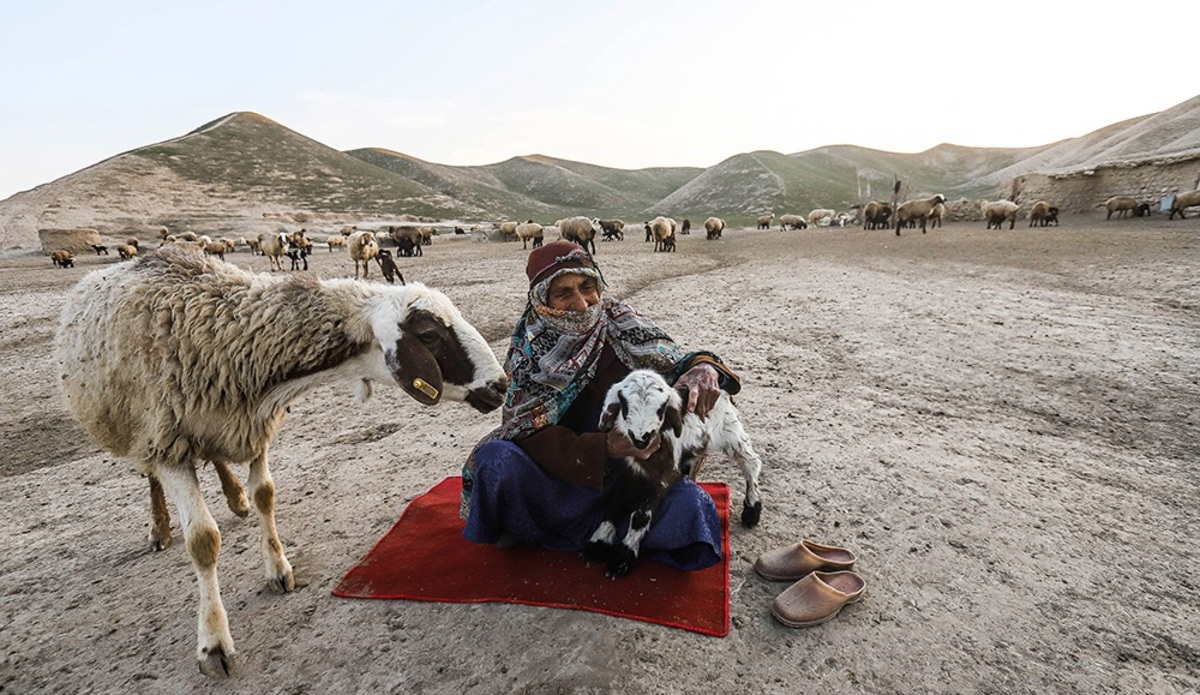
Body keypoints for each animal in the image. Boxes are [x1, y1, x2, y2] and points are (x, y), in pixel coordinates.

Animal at [55, 246, 506, 681]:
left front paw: (277, 567)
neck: (231, 336)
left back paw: (234, 498)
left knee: (217, 459)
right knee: (149, 476)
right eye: (429, 334)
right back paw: (160, 528)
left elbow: (266, 496)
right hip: (133, 427)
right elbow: (202, 540)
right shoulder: (169, 443)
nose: (501, 386)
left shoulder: (254, 426)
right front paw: (214, 644)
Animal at [583, 372, 768, 578]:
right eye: (624, 403)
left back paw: (752, 509)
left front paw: (623, 557)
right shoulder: (628, 469)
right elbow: (615, 502)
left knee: (751, 463)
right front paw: (598, 544)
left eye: (661, 408)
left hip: (731, 432)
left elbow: (640, 516)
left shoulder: (663, 476)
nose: (641, 438)